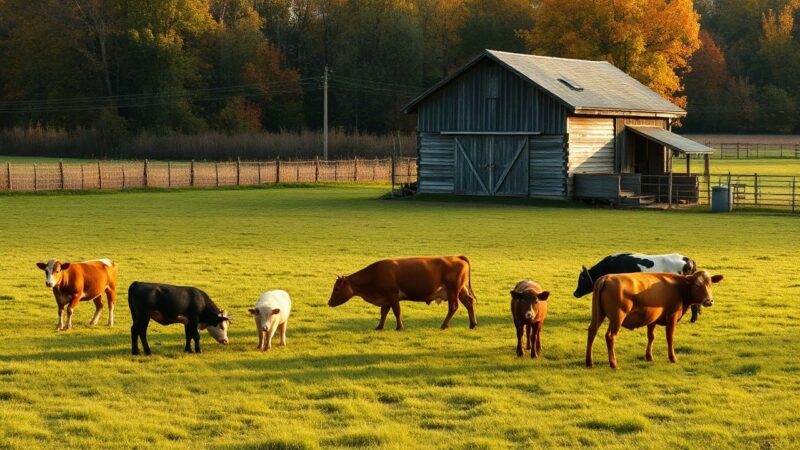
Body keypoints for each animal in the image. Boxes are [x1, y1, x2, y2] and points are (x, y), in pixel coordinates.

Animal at [327, 256, 477, 330]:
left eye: (337, 288)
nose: (329, 303)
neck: (375, 274)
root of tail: (457, 257)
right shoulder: (386, 297)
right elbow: (383, 312)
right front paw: (379, 326)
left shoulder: (392, 295)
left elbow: (396, 311)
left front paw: (399, 327)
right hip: (461, 290)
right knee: (469, 303)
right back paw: (472, 324)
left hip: (453, 290)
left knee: (453, 307)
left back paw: (444, 325)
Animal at [586, 271, 723, 369]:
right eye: (697, 284)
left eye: (710, 284)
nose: (709, 301)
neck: (678, 287)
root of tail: (607, 277)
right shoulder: (672, 316)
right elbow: (670, 337)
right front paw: (672, 358)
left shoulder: (652, 319)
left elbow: (651, 337)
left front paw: (649, 357)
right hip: (617, 317)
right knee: (610, 336)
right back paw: (613, 363)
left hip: (598, 314)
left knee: (592, 331)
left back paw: (589, 362)